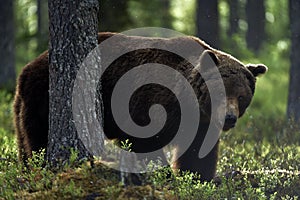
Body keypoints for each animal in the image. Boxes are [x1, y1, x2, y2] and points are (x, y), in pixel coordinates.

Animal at [14, 31, 268, 181]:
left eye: (242, 96)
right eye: (220, 92)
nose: (229, 118)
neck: (188, 102)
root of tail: (27, 68)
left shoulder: (201, 123)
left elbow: (197, 153)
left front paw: (196, 178)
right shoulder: (150, 103)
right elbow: (146, 143)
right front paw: (163, 175)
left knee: (24, 141)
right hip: (42, 98)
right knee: (38, 138)